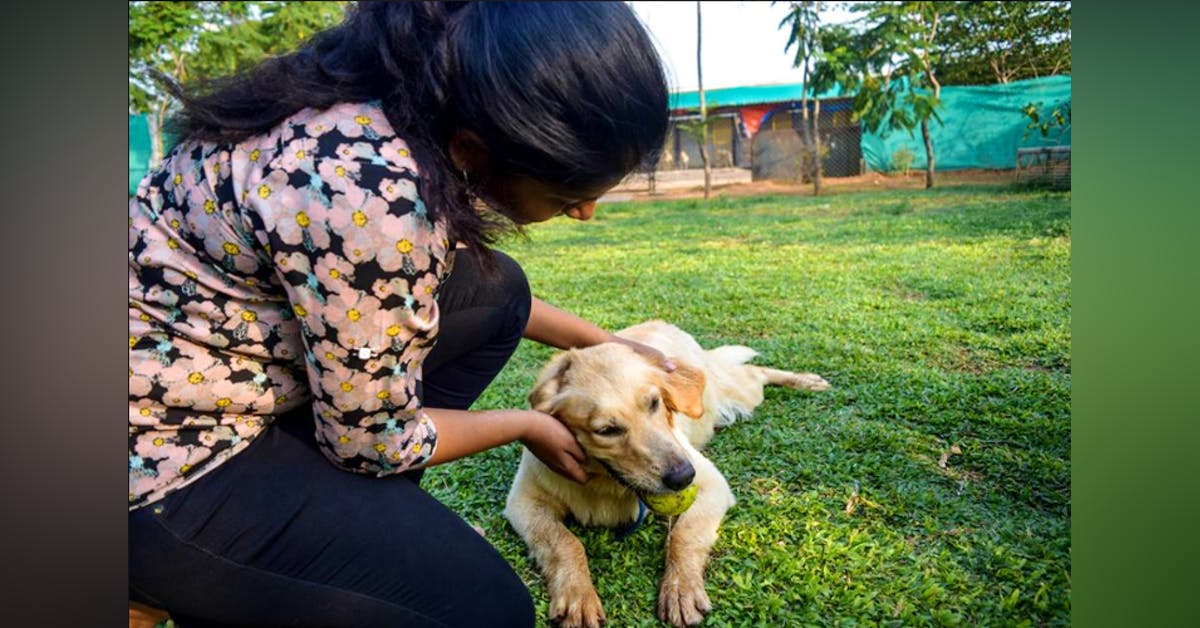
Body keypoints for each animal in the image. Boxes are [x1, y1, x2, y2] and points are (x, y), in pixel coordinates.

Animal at [501, 321, 830, 624]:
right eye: (607, 430)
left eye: (654, 403)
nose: (684, 477)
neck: (605, 483)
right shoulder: (523, 503)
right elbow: (565, 543)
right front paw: (577, 594)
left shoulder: (712, 484)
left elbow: (685, 534)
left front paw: (681, 588)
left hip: (737, 393)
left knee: (754, 372)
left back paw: (805, 380)